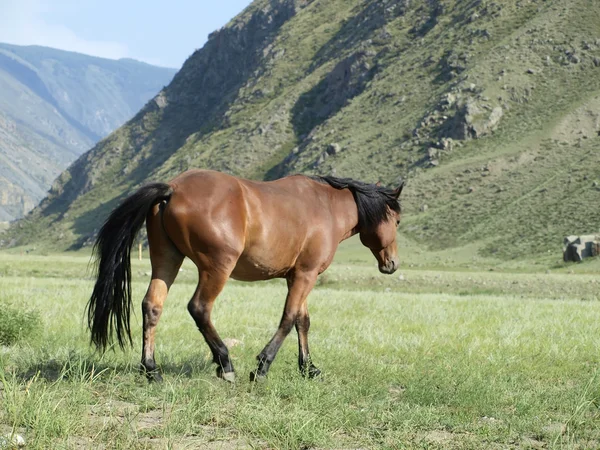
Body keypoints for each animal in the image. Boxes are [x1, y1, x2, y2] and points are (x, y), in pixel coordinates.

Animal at [85, 171, 404, 382]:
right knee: (199, 308)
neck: (325, 207)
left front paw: (308, 368)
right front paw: (263, 366)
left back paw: (152, 369)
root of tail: (173, 189)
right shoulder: (306, 275)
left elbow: (302, 321)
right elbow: (288, 318)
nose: (392, 264)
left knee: (152, 306)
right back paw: (225, 364)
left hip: (166, 261)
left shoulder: (298, 276)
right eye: (398, 221)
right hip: (217, 268)